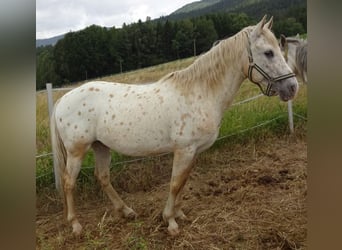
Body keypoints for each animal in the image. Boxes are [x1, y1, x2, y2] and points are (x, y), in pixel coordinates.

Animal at [49, 16, 298, 236]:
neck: (200, 92)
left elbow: (183, 182)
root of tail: (62, 100)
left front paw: (179, 214)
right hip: (77, 151)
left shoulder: (193, 151)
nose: (292, 87)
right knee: (69, 183)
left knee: (102, 178)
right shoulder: (184, 150)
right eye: (268, 52)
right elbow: (175, 184)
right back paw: (76, 225)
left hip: (101, 146)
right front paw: (170, 221)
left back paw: (126, 211)